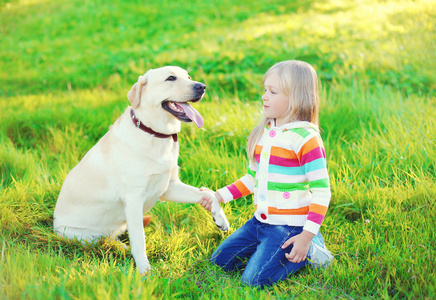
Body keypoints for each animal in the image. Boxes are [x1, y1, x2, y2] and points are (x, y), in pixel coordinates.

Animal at [53, 66, 230, 274]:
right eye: (171, 78)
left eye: (188, 76)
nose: (201, 86)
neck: (155, 134)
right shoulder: (133, 200)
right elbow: (139, 240)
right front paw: (145, 271)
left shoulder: (169, 187)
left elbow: (208, 194)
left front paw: (220, 219)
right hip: (78, 236)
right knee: (101, 242)